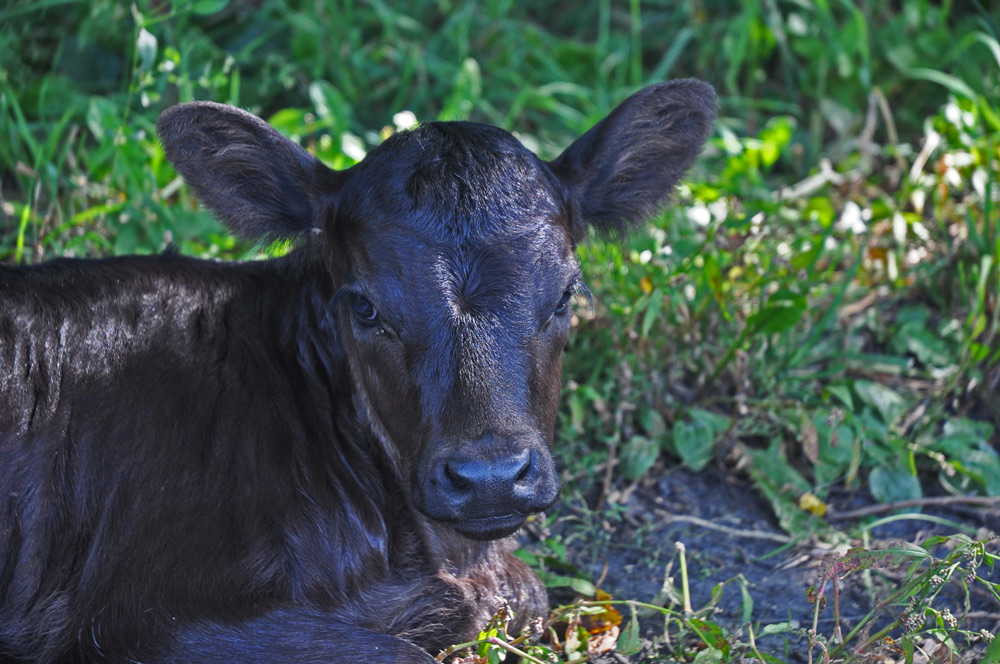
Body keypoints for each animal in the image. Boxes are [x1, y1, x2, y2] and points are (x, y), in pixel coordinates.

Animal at [0, 79, 715, 663]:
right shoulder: (142, 619)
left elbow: (528, 593)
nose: (489, 479)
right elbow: (404, 652)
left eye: (567, 294)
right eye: (365, 307)